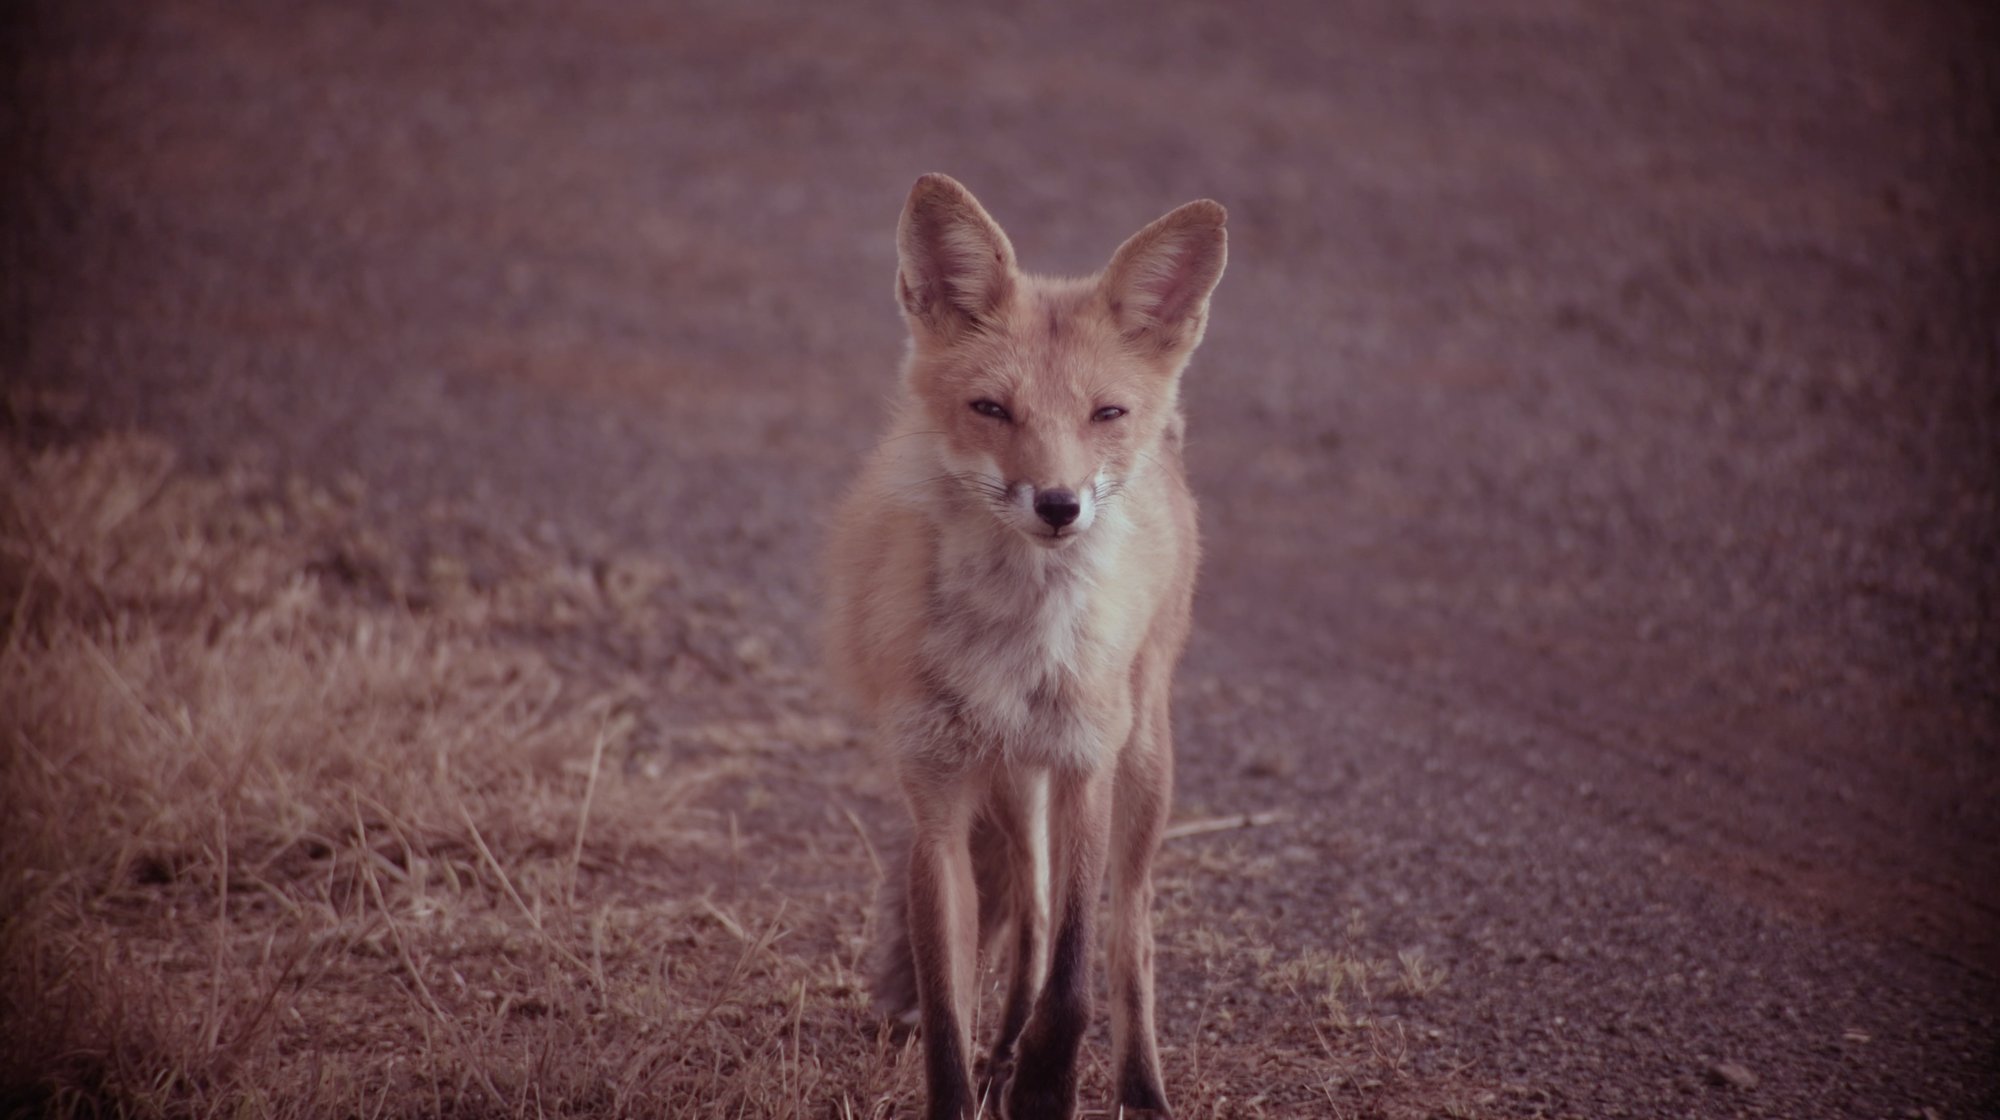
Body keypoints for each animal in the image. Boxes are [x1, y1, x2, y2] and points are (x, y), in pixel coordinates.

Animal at [825, 173, 1226, 1120]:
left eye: (1105, 413)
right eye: (991, 409)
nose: (1058, 504)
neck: (1016, 635)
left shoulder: (1085, 767)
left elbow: (1077, 977)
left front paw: (1047, 1084)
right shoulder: (935, 805)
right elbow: (948, 1008)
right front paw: (979, 1081)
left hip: (1142, 762)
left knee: (1128, 935)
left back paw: (1139, 1089)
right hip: (1009, 782)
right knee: (1033, 917)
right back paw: (1005, 1049)